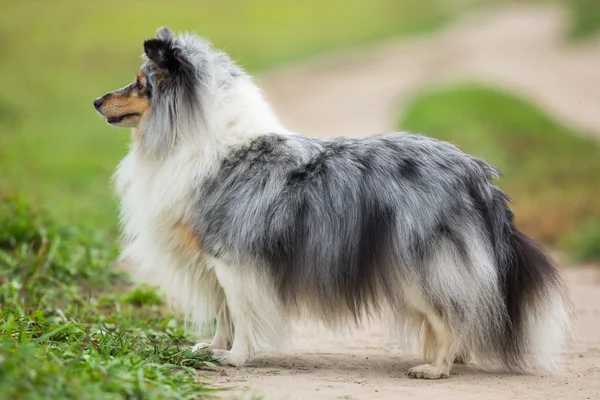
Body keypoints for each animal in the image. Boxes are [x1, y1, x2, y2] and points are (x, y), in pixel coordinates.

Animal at [95, 27, 572, 378]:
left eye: (141, 84)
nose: (96, 100)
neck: (203, 143)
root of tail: (477, 174)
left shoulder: (235, 261)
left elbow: (243, 315)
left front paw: (235, 358)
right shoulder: (215, 265)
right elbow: (224, 316)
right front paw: (212, 349)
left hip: (418, 268)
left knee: (450, 315)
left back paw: (435, 369)